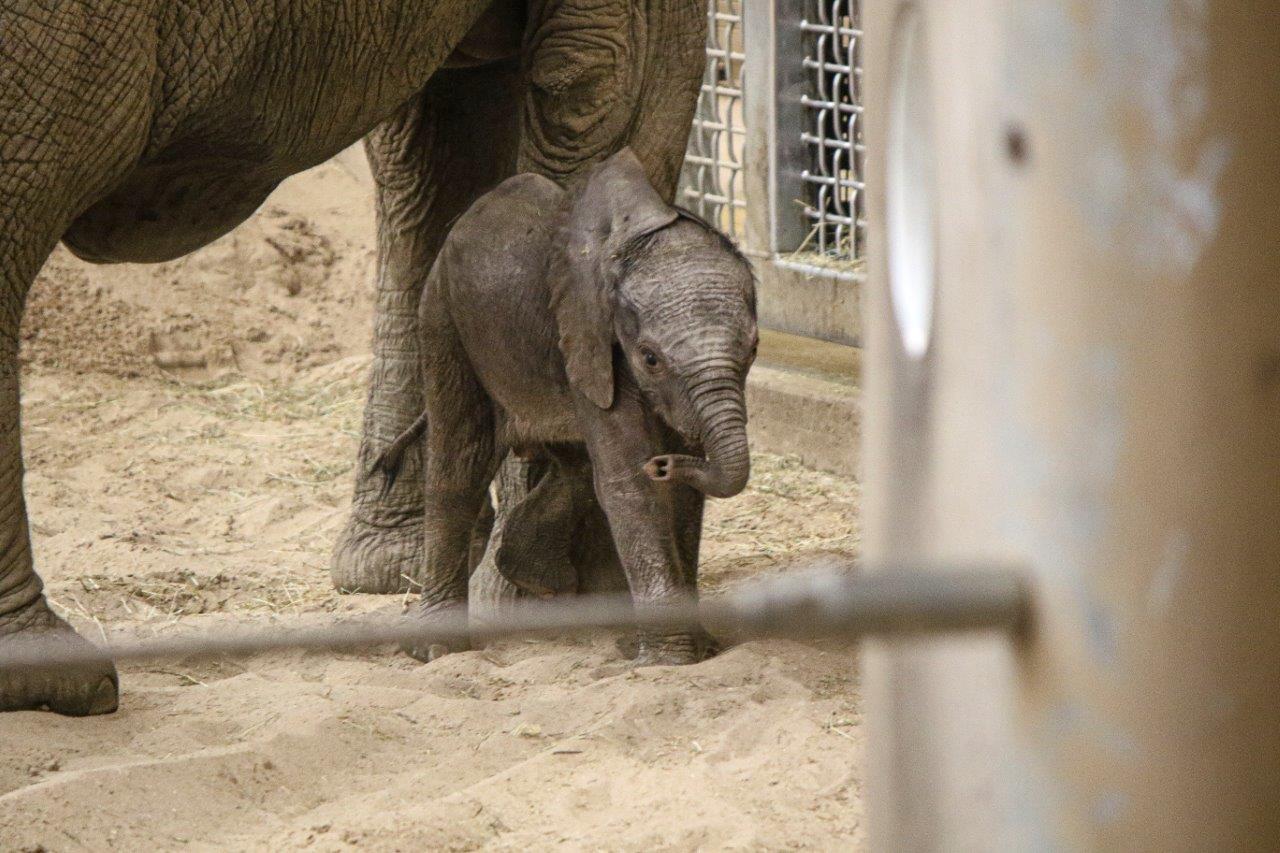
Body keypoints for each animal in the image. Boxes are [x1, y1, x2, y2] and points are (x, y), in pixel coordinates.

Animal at [384, 147, 752, 666]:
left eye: (754, 350)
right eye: (650, 358)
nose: (664, 461)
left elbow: (681, 493)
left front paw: (700, 649)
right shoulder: (590, 339)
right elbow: (627, 482)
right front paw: (672, 660)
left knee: (576, 468)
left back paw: (542, 580)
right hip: (442, 316)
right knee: (461, 462)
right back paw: (438, 648)